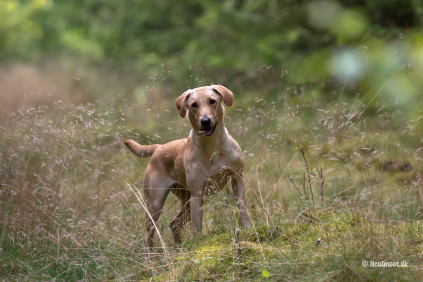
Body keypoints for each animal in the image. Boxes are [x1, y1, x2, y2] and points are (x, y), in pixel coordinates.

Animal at [126, 85, 252, 248]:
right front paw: (199, 244)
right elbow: (197, 226)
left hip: (185, 201)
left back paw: (179, 246)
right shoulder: (197, 194)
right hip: (155, 204)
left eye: (212, 101)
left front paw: (247, 230)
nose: (205, 121)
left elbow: (242, 209)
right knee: (150, 233)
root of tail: (158, 148)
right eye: (194, 105)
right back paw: (152, 252)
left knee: (174, 223)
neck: (212, 147)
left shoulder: (237, 178)